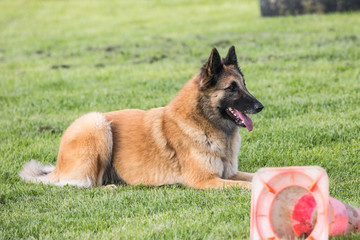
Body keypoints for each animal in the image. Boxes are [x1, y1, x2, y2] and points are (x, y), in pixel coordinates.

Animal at [20, 46, 264, 189]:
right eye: (232, 88)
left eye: (244, 85)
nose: (260, 106)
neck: (203, 121)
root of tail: (58, 168)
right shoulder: (206, 180)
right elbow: (250, 186)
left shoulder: (230, 173)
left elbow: (256, 176)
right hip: (96, 124)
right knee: (89, 184)